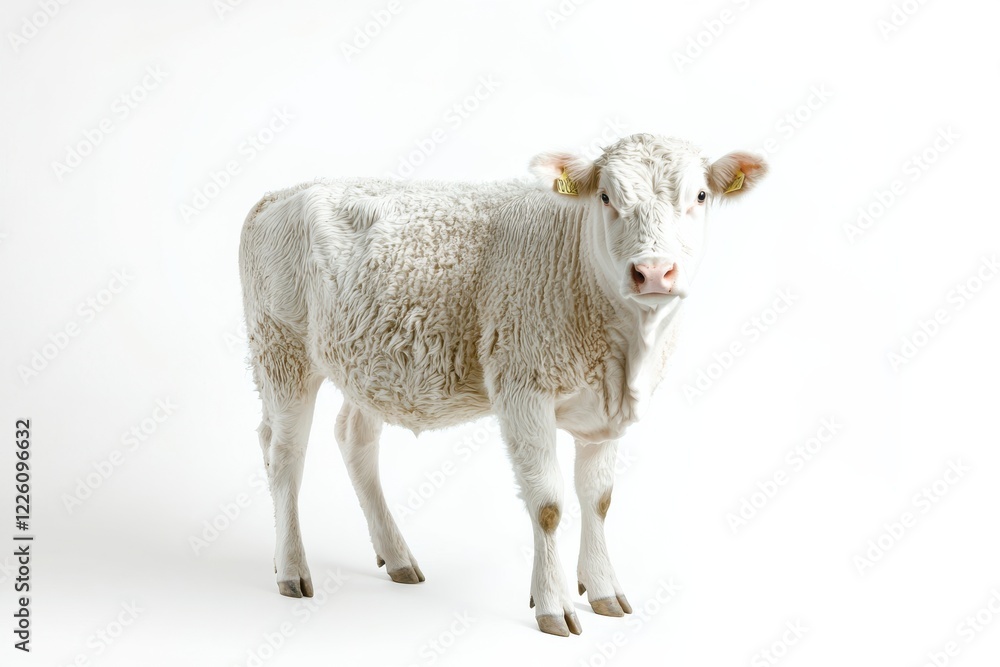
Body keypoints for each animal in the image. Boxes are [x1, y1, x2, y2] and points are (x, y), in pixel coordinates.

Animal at [239, 133, 768, 636]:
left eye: (700, 195)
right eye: (605, 196)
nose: (653, 271)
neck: (624, 355)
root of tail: (279, 194)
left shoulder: (603, 411)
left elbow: (598, 498)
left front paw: (601, 589)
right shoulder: (522, 387)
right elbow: (549, 503)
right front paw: (552, 604)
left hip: (367, 362)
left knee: (354, 438)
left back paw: (398, 556)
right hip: (280, 347)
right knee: (284, 454)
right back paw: (291, 568)